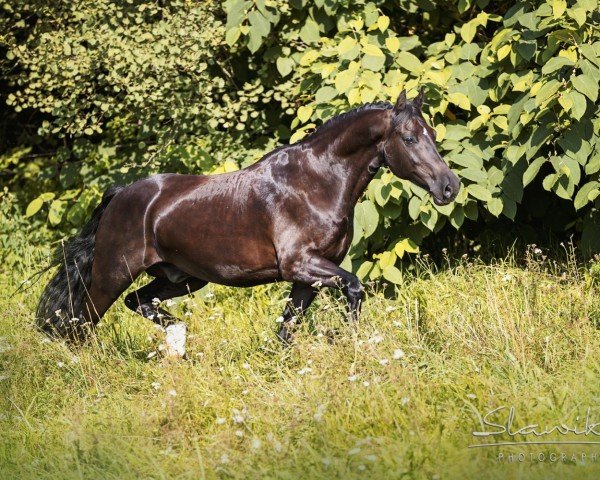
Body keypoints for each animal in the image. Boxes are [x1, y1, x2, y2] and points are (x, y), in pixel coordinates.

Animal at [37, 90, 460, 344]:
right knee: (81, 323)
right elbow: (355, 288)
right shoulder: (300, 264)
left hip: (180, 278)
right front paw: (352, 344)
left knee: (138, 303)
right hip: (112, 275)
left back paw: (178, 342)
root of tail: (120, 194)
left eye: (433, 133)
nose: (449, 187)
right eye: (409, 138)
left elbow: (287, 330)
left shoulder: (307, 277)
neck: (315, 184)